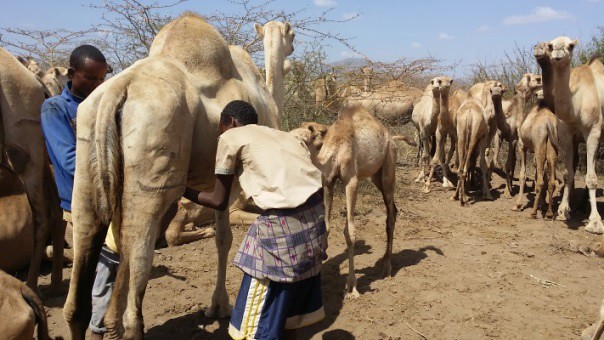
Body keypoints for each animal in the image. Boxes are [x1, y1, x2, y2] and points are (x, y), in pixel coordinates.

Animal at [65, 13, 286, 340]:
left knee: (83, 251)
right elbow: (224, 237)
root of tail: (117, 93)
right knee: (139, 252)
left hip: (86, 156)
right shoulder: (233, 176)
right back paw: (128, 325)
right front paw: (219, 306)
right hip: (153, 152)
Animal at [290, 105, 410, 298]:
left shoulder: (351, 181)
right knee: (394, 209)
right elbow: (326, 225)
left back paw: (387, 269)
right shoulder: (328, 181)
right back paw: (385, 259)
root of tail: (391, 137)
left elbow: (350, 231)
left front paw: (352, 287)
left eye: (304, 138)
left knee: (390, 214)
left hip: (388, 169)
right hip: (375, 176)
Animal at [516, 89, 572, 218]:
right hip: (551, 147)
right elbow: (537, 174)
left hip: (539, 145)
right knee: (551, 181)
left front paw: (517, 205)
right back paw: (549, 213)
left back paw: (533, 212)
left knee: (541, 181)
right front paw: (542, 204)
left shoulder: (521, 146)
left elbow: (523, 174)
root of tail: (548, 124)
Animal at [548, 36, 604, 234]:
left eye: (570, 46)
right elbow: (568, 174)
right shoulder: (565, 133)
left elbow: (592, 178)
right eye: (550, 45)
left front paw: (595, 222)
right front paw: (563, 211)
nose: (557, 52)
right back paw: (581, 206)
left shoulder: (593, 130)